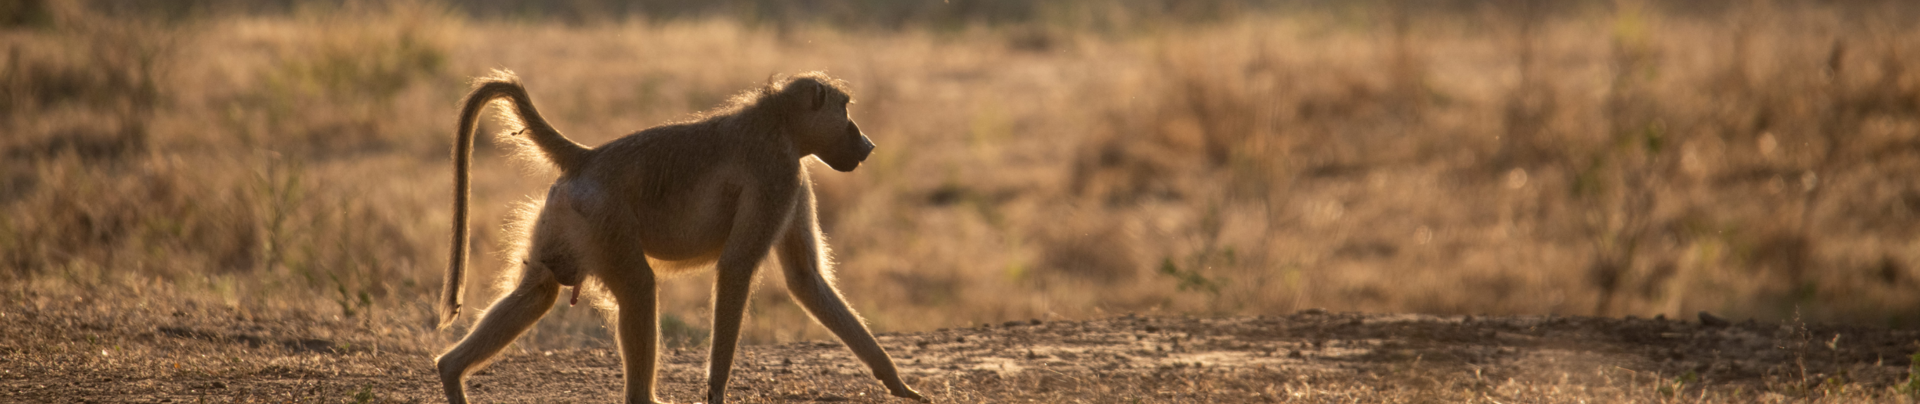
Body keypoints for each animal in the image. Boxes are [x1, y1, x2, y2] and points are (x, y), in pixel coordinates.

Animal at [434, 70, 924, 404]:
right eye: (846, 110)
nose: (867, 144)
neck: (778, 123)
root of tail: (586, 157)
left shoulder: (794, 178)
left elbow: (806, 280)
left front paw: (899, 384)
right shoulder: (778, 174)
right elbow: (736, 267)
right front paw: (716, 392)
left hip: (563, 215)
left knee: (537, 292)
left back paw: (451, 372)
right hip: (603, 218)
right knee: (638, 288)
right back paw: (643, 397)